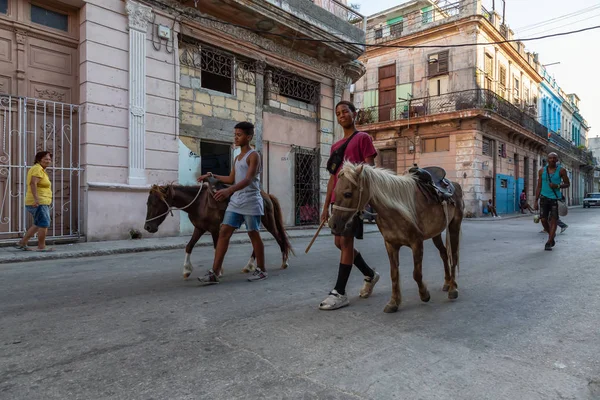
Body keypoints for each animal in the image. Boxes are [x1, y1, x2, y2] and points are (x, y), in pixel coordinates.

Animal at [146, 181, 296, 278]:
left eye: (155, 203)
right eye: (148, 203)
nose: (147, 227)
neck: (199, 203)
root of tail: (267, 195)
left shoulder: (214, 229)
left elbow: (217, 247)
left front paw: (218, 270)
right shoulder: (199, 228)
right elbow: (189, 246)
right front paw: (187, 270)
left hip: (268, 222)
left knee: (279, 238)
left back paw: (285, 262)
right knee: (257, 243)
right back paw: (249, 266)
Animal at [328, 162, 464, 312]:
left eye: (348, 194)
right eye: (335, 192)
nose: (333, 224)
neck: (398, 210)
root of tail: (455, 184)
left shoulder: (417, 243)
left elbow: (416, 274)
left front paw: (424, 294)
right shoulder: (390, 244)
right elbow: (393, 274)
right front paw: (393, 302)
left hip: (454, 226)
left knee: (454, 257)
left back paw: (453, 289)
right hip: (436, 233)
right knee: (444, 253)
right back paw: (447, 283)